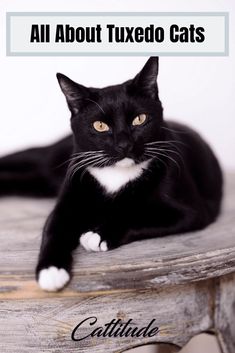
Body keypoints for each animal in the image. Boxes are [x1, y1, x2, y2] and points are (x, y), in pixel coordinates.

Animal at [0, 56, 223, 290]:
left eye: (139, 119)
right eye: (100, 125)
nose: (124, 144)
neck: (116, 174)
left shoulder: (191, 211)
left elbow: (140, 215)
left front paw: (98, 235)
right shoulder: (70, 197)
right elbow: (53, 229)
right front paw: (51, 271)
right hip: (53, 161)